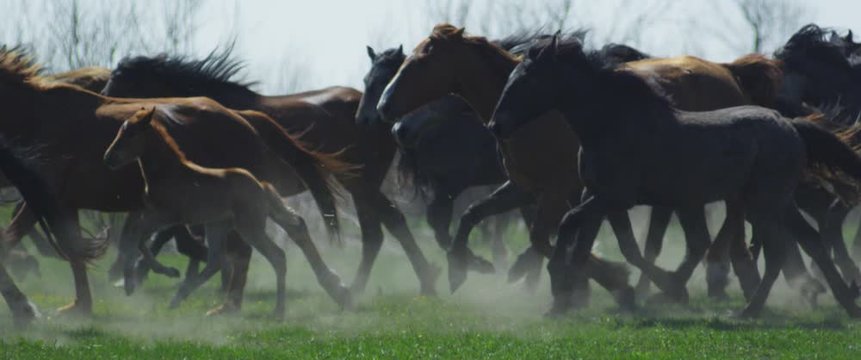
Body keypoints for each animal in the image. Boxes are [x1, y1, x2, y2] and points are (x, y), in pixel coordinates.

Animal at [105, 107, 350, 316]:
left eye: (130, 134)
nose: (108, 157)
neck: (169, 172)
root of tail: (261, 186)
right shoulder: (160, 217)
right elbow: (137, 238)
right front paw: (151, 275)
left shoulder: (165, 216)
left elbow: (136, 237)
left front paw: (132, 281)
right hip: (217, 225)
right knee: (217, 260)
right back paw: (179, 298)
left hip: (249, 228)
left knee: (277, 256)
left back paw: (279, 311)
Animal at [376, 23, 800, 302]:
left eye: (419, 64)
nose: (391, 118)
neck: (545, 114)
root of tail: (729, 72)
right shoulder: (529, 189)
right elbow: (473, 217)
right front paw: (471, 267)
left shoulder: (562, 191)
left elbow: (548, 238)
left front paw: (599, 281)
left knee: (730, 233)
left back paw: (722, 280)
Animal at [488, 35, 860, 318]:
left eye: (527, 80)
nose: (495, 125)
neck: (611, 124)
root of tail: (791, 125)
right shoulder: (595, 196)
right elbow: (592, 244)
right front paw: (568, 300)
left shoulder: (612, 197)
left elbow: (570, 226)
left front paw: (565, 290)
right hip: (777, 204)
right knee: (811, 242)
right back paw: (840, 302)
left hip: (762, 204)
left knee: (780, 251)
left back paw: (751, 309)